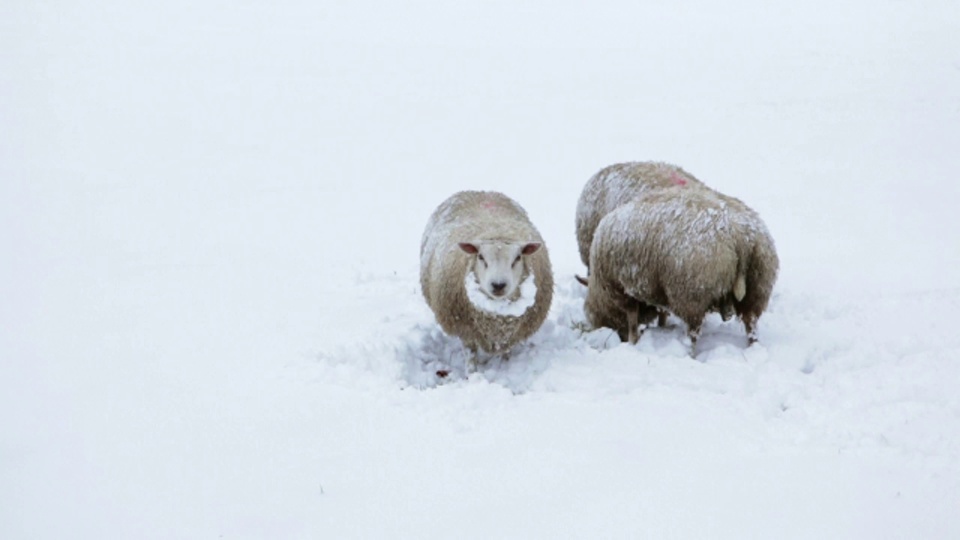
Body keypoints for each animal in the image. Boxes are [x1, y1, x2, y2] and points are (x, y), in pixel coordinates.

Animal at [416, 191, 552, 362]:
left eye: (518, 258)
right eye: (481, 257)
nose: (498, 285)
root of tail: (480, 191)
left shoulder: (511, 337)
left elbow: (507, 353)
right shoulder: (466, 331)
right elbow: (471, 357)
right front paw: (472, 369)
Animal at [584, 186, 780, 354]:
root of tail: (741, 235)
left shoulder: (624, 290)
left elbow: (632, 321)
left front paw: (633, 343)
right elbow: (661, 313)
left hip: (691, 292)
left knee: (694, 332)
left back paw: (689, 354)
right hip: (758, 286)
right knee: (751, 324)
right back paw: (753, 349)